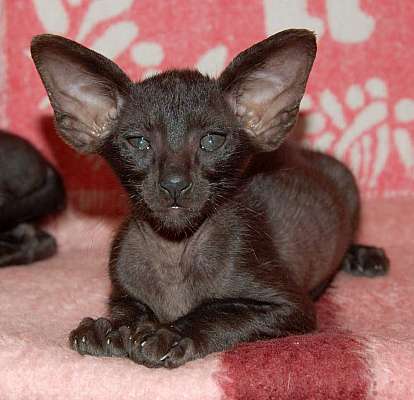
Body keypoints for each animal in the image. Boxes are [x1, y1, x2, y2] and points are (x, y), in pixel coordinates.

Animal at [30, 28, 390, 368]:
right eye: (139, 142)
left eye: (212, 140)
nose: (174, 184)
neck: (173, 249)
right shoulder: (122, 293)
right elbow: (127, 310)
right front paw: (111, 329)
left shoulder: (290, 306)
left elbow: (221, 312)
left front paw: (170, 334)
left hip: (347, 184)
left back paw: (364, 257)